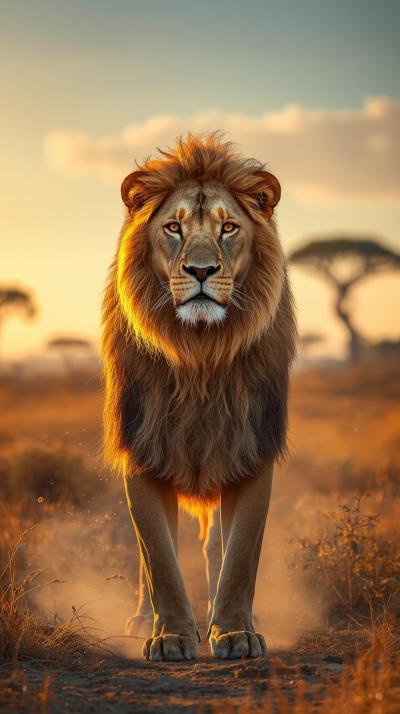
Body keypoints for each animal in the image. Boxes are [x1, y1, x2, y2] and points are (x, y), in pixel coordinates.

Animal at [101, 133, 297, 661]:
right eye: (174, 227)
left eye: (229, 227)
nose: (202, 270)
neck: (199, 355)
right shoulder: (142, 449)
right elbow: (159, 560)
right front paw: (170, 637)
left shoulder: (252, 448)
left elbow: (240, 556)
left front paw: (234, 633)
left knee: (215, 548)